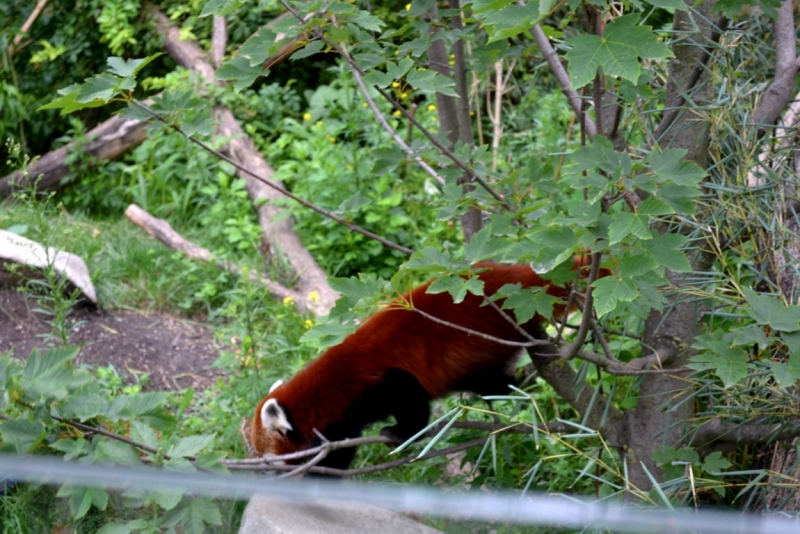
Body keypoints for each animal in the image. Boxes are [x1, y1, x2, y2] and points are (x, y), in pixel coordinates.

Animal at [252, 262, 600, 472]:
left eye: (266, 458)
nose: (263, 470)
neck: (328, 392)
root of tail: (505, 276)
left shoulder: (378, 386)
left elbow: (412, 405)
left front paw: (400, 433)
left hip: (478, 343)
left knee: (489, 382)